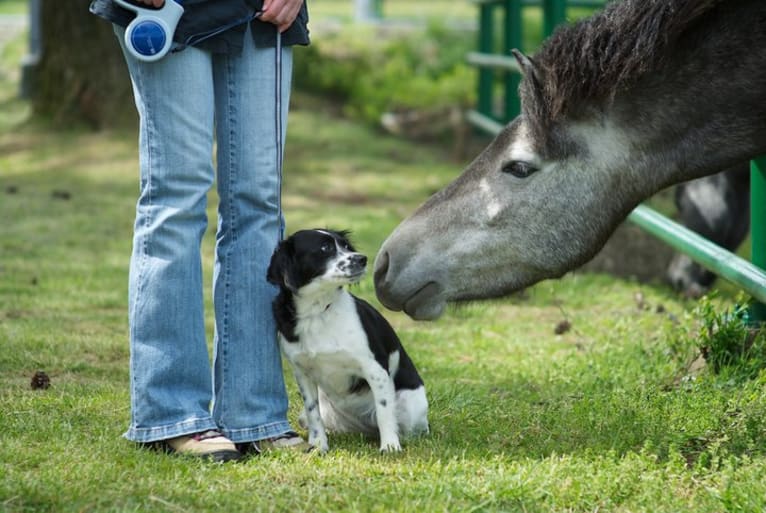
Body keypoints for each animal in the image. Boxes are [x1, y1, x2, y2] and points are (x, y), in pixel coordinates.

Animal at [268, 229, 428, 452]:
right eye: (325, 248)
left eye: (345, 246)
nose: (362, 259)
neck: (317, 312)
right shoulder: (302, 373)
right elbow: (313, 412)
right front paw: (318, 445)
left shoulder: (375, 369)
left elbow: (384, 411)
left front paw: (389, 446)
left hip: (410, 407)